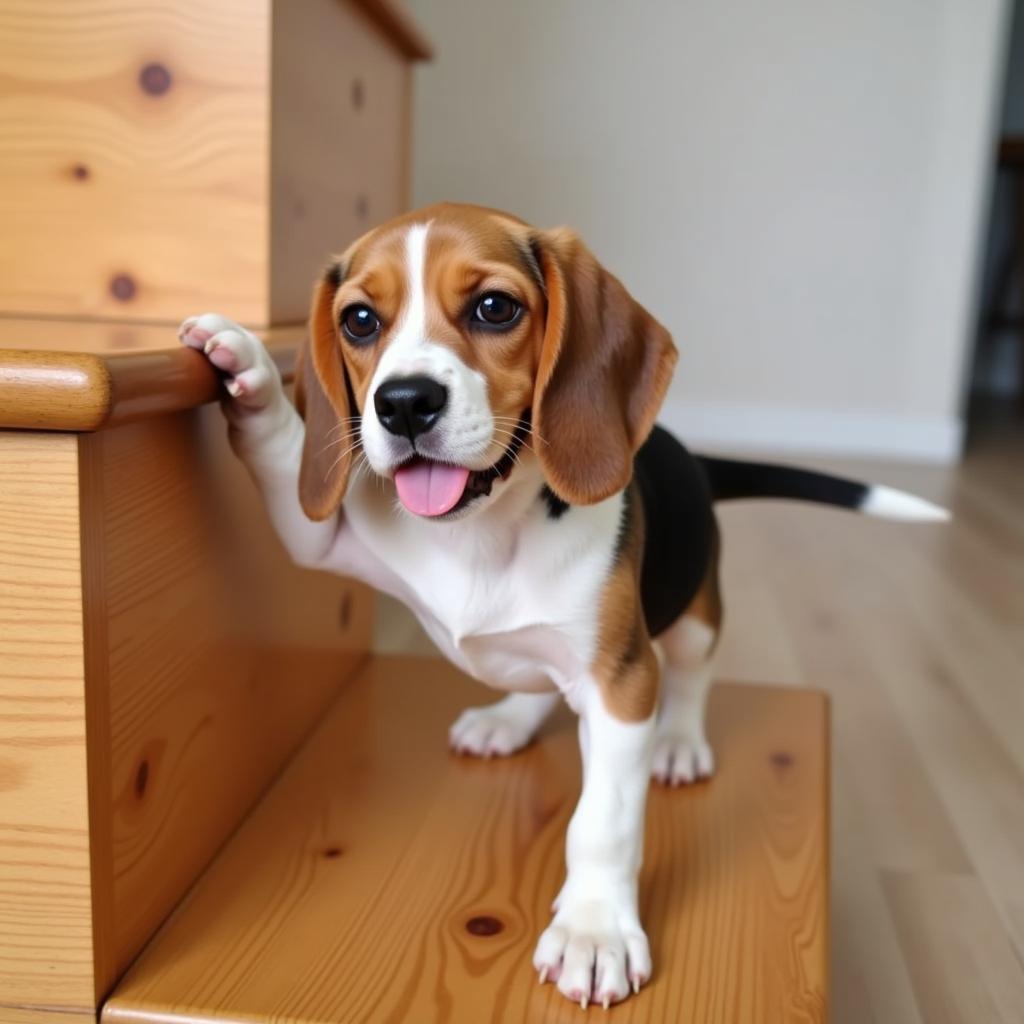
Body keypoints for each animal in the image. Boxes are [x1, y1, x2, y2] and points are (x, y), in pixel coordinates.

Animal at [178, 201, 950, 1007]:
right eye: (360, 320)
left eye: (495, 307)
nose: (403, 404)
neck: (483, 534)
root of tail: (686, 451)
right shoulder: (325, 541)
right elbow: (283, 468)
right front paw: (245, 368)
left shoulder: (621, 685)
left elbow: (602, 821)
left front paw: (594, 929)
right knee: (539, 683)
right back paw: (508, 720)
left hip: (691, 621)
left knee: (691, 673)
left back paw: (679, 742)